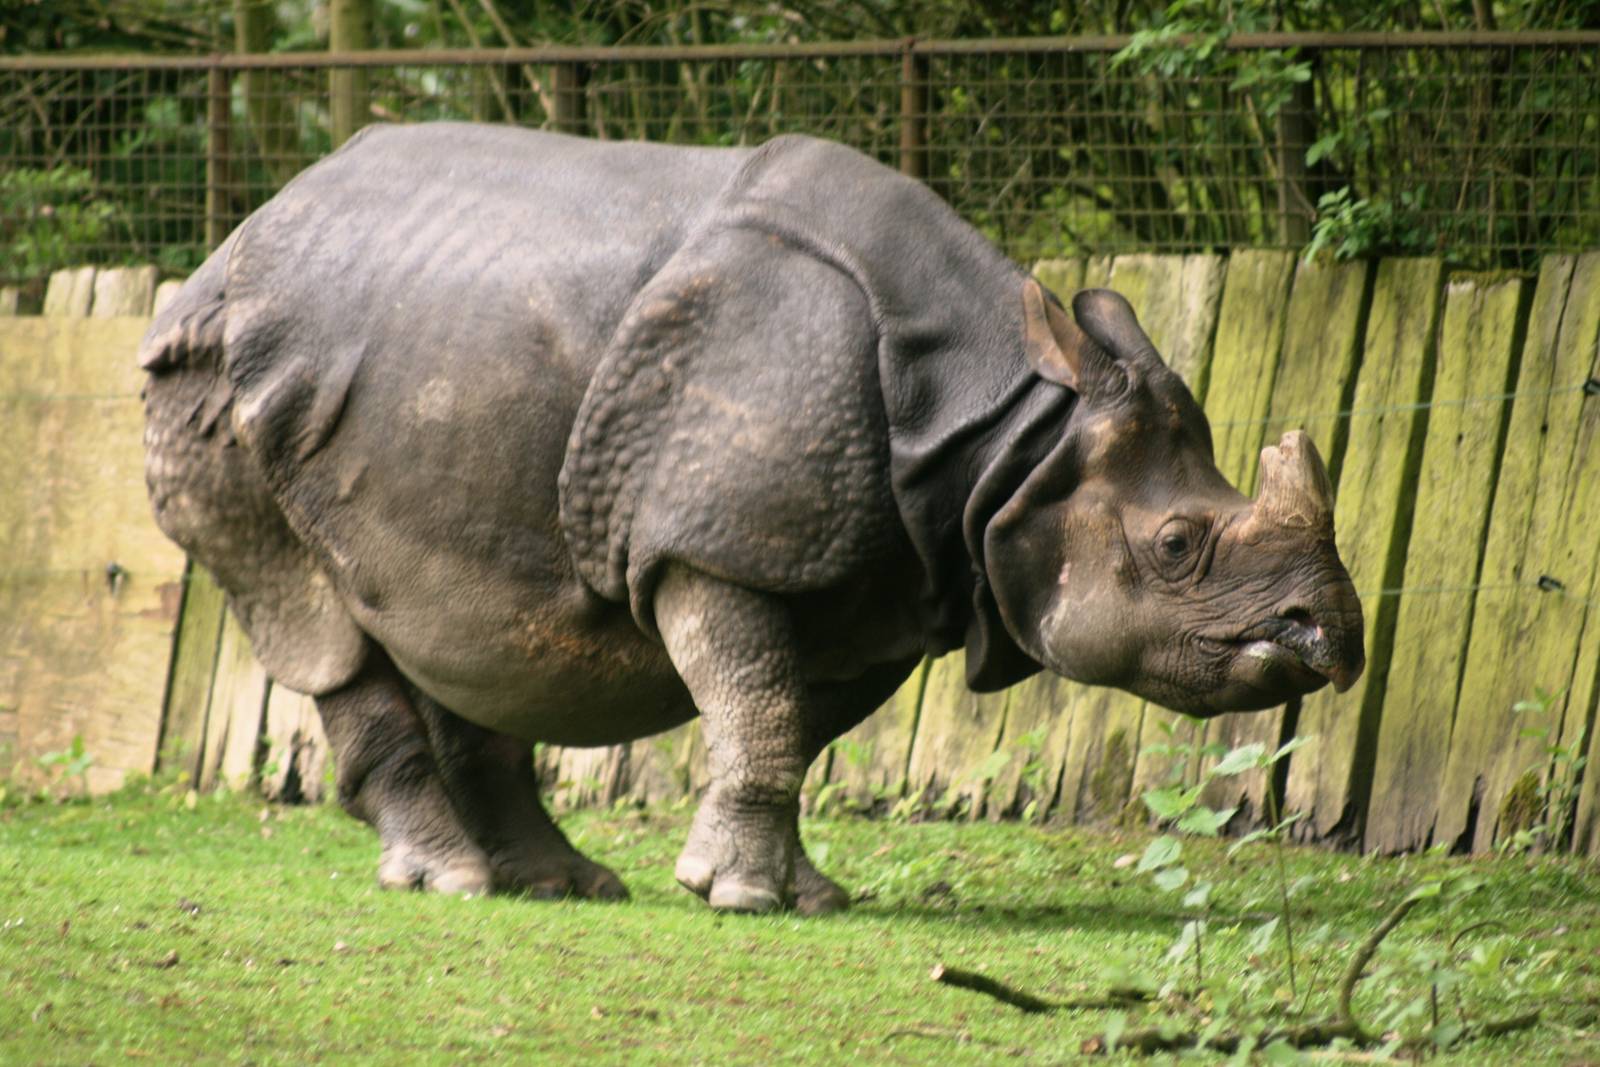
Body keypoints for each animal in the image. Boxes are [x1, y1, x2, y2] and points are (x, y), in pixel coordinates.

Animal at [141, 123, 1363, 914]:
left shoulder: (888, 581)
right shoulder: (715, 545)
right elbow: (762, 704)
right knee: (313, 618)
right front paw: (737, 894)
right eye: (1176, 546)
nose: (1330, 635)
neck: (1008, 433)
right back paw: (450, 881)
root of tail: (228, 244)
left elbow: (789, 720)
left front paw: (802, 891)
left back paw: (561, 884)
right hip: (210, 383)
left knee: (457, 620)